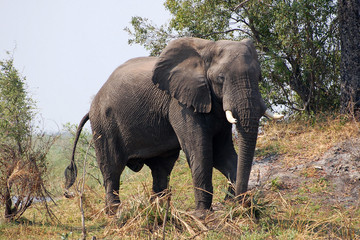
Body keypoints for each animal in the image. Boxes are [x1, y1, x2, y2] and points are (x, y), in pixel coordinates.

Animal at [64, 37, 284, 214]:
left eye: (259, 76)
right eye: (220, 79)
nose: (240, 203)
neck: (208, 49)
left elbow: (223, 153)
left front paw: (237, 203)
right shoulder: (179, 104)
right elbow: (201, 151)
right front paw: (203, 214)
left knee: (161, 169)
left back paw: (159, 212)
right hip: (104, 124)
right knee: (112, 169)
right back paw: (116, 214)